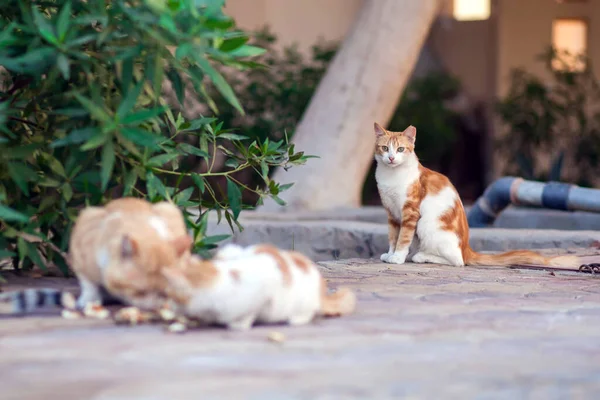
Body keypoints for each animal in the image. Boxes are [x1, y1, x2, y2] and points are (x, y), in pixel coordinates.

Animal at [372, 122, 580, 268]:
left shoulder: (410, 212)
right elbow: (393, 236)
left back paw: (421, 256)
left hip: (426, 224)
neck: (391, 176)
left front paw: (398, 257)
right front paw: (390, 254)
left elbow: (403, 237)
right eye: (385, 148)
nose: (391, 158)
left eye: (400, 149)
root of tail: (467, 248)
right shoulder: (392, 213)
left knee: (458, 260)